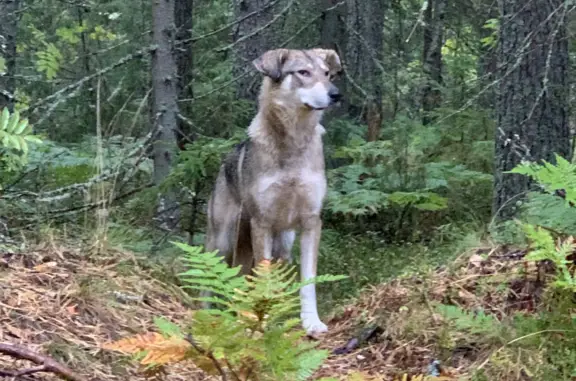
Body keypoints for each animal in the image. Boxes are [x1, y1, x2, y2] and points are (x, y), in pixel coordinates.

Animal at [205, 48, 342, 336]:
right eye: (303, 72)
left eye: (327, 73)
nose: (336, 94)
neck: (293, 145)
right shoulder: (262, 223)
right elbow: (264, 279)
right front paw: (264, 321)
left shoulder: (311, 222)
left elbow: (308, 282)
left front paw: (311, 322)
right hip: (222, 242)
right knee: (208, 285)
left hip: (282, 246)